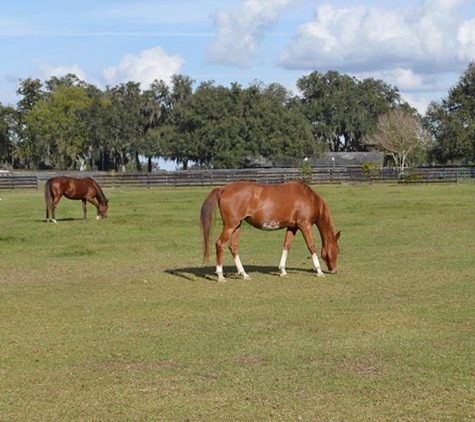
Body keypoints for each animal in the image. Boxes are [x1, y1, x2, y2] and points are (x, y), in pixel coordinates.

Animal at [201, 180, 342, 282]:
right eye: (337, 251)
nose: (334, 270)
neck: (309, 197)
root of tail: (224, 188)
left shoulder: (293, 227)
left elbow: (287, 245)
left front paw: (283, 271)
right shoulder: (304, 225)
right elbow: (311, 246)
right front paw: (319, 271)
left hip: (237, 226)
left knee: (233, 247)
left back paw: (244, 274)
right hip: (230, 225)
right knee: (220, 244)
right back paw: (220, 275)